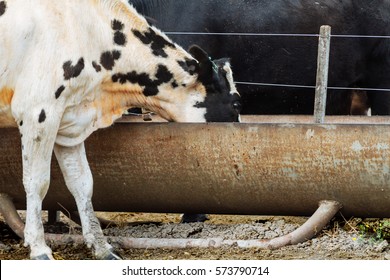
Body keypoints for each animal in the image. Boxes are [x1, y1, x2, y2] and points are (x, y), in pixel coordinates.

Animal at [0, 0, 241, 260]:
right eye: (236, 103)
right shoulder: (38, 113)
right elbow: (37, 182)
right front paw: (39, 248)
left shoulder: (69, 122)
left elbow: (82, 183)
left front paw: (101, 247)